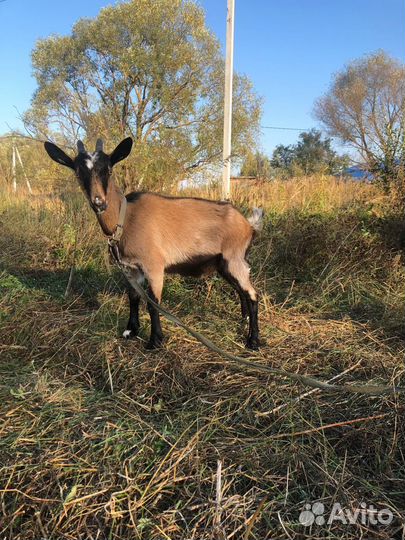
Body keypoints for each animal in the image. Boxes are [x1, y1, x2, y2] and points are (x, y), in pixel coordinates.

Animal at [42, 138, 260, 350]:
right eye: (78, 172)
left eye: (109, 169)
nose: (99, 203)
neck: (126, 218)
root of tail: (248, 225)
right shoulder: (130, 268)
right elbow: (133, 297)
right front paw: (131, 331)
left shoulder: (154, 266)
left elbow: (153, 303)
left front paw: (155, 341)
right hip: (224, 264)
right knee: (241, 291)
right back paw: (243, 321)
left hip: (234, 258)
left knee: (252, 295)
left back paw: (253, 341)